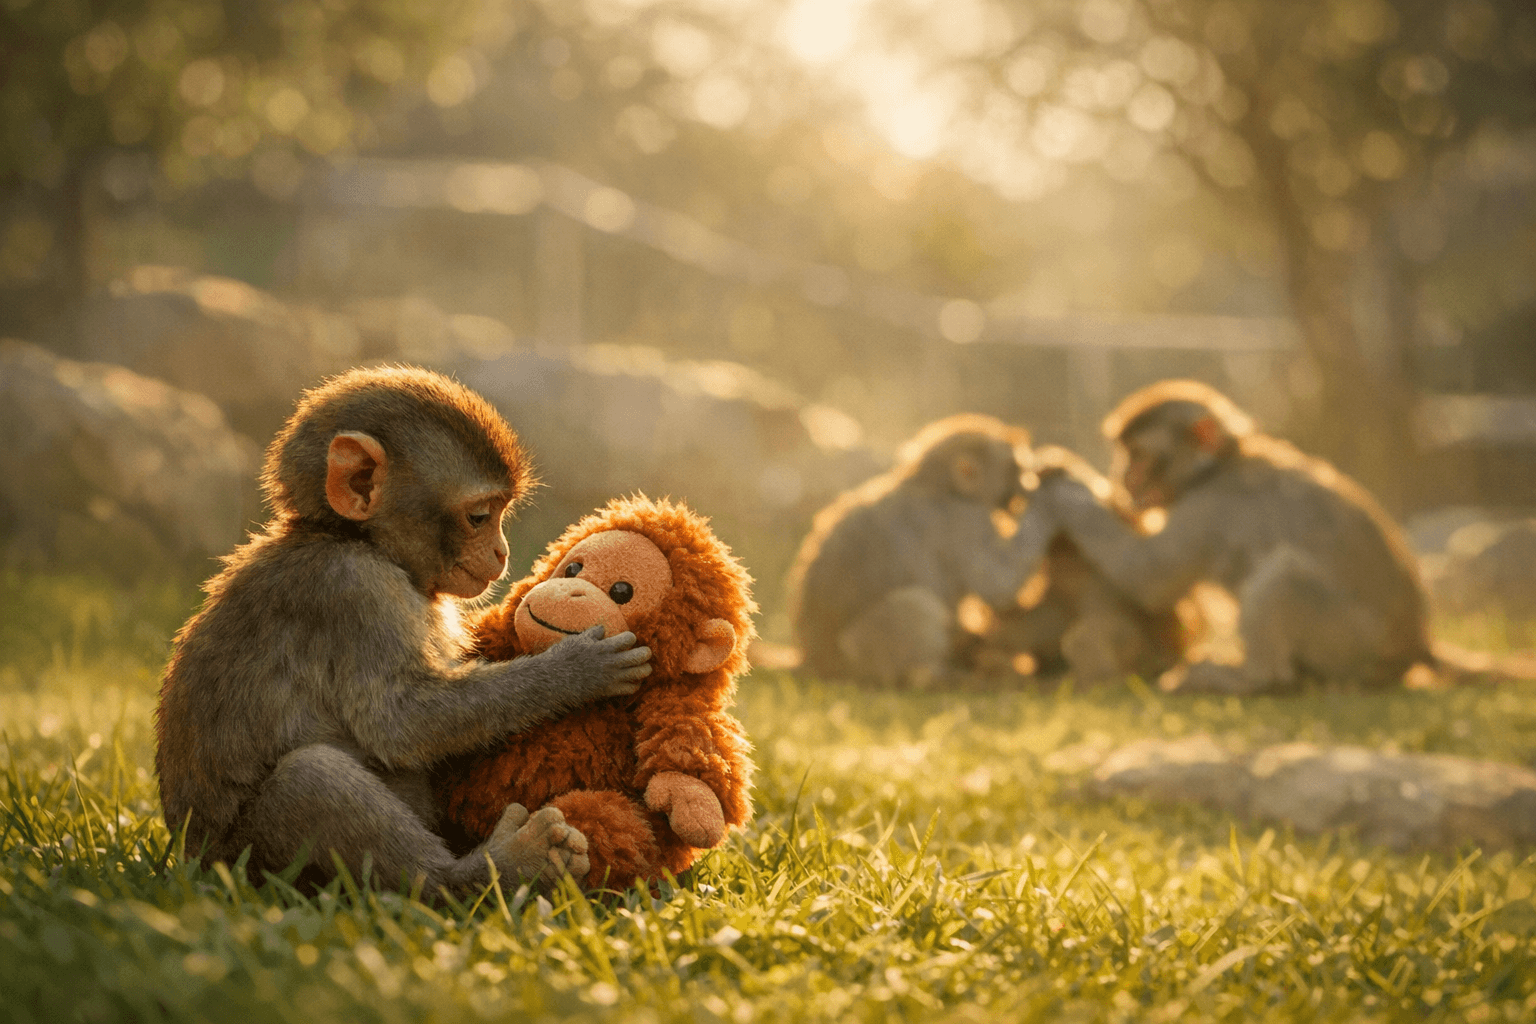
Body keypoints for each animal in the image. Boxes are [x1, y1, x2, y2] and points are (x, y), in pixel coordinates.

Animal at [154, 366, 654, 897]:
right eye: (479, 516)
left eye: (501, 513)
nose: (501, 552)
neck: (353, 538)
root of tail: (194, 859)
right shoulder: (353, 592)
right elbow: (399, 722)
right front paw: (575, 670)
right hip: (249, 859)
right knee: (310, 778)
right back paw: (484, 872)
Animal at [785, 414, 1052, 687]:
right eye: (1015, 468)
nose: (1026, 485)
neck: (935, 484)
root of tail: (813, 660)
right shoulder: (965, 520)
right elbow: (999, 587)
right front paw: (1050, 503)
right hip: (859, 656)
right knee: (914, 605)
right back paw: (935, 676)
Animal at [1033, 379, 1432, 695]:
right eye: (1124, 455)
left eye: (1138, 456)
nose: (1122, 477)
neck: (1217, 465)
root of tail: (1414, 646)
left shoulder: (1207, 508)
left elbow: (1147, 580)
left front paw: (1066, 482)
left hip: (1352, 642)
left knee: (1283, 574)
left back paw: (1252, 678)